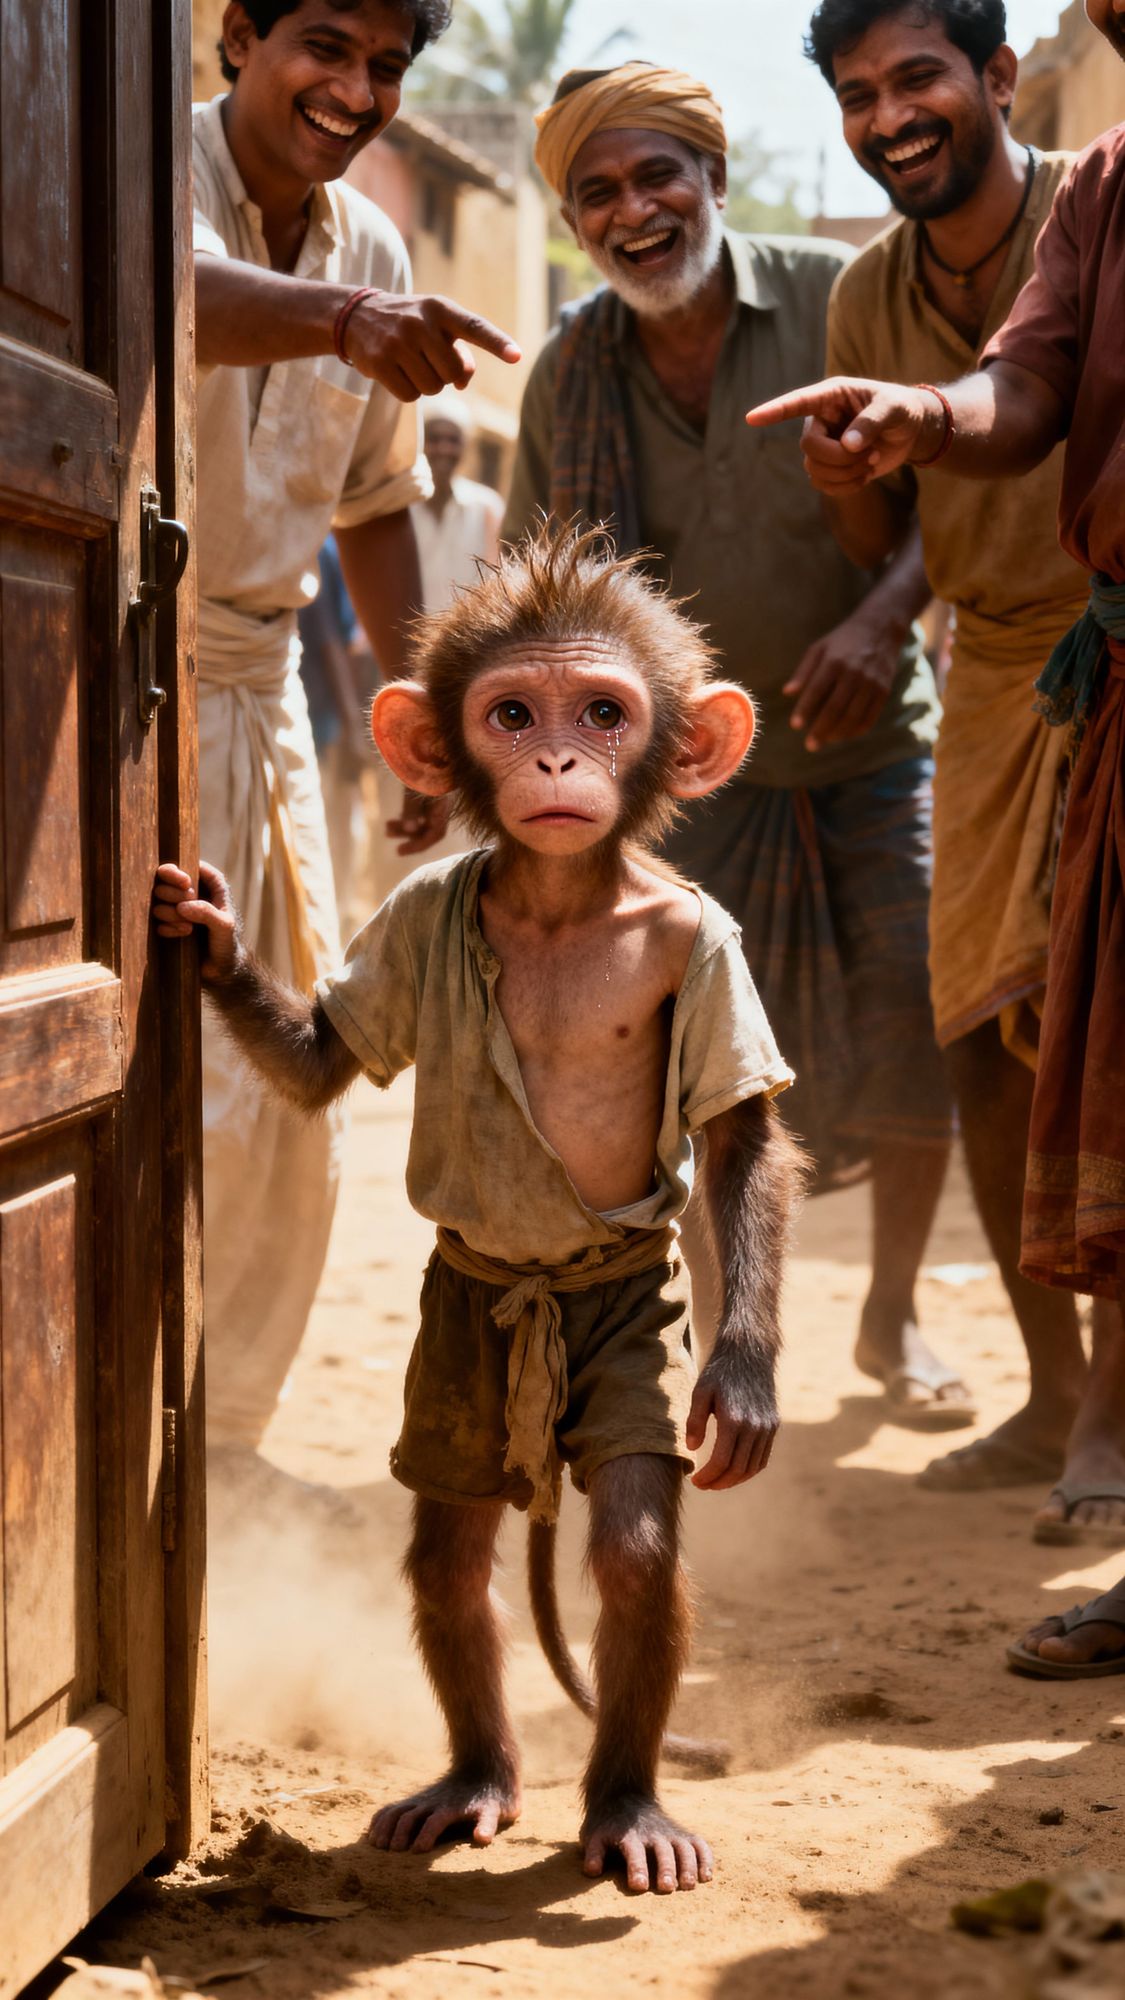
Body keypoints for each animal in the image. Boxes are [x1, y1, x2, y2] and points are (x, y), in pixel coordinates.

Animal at [153, 522, 804, 1896]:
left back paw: (626, 1803)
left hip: (613, 1331)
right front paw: (210, 936)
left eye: (604, 712)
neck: (559, 897)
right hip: (457, 1369)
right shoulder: (405, 926)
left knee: (630, 1551)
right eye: (511, 713)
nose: (556, 760)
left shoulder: (710, 944)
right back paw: (476, 1779)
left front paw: (745, 1381)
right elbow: (320, 1061)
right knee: (450, 1559)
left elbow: (738, 1142)